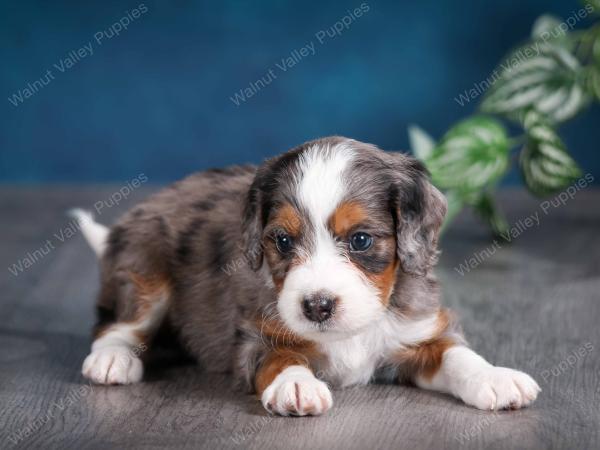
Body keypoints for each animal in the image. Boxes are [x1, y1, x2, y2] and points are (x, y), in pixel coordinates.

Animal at [70, 136, 540, 414]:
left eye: (361, 240)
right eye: (281, 241)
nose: (317, 306)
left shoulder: (416, 332)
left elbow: (456, 353)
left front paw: (495, 377)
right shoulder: (255, 335)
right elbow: (281, 356)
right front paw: (295, 384)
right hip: (144, 269)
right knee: (117, 324)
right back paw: (112, 360)